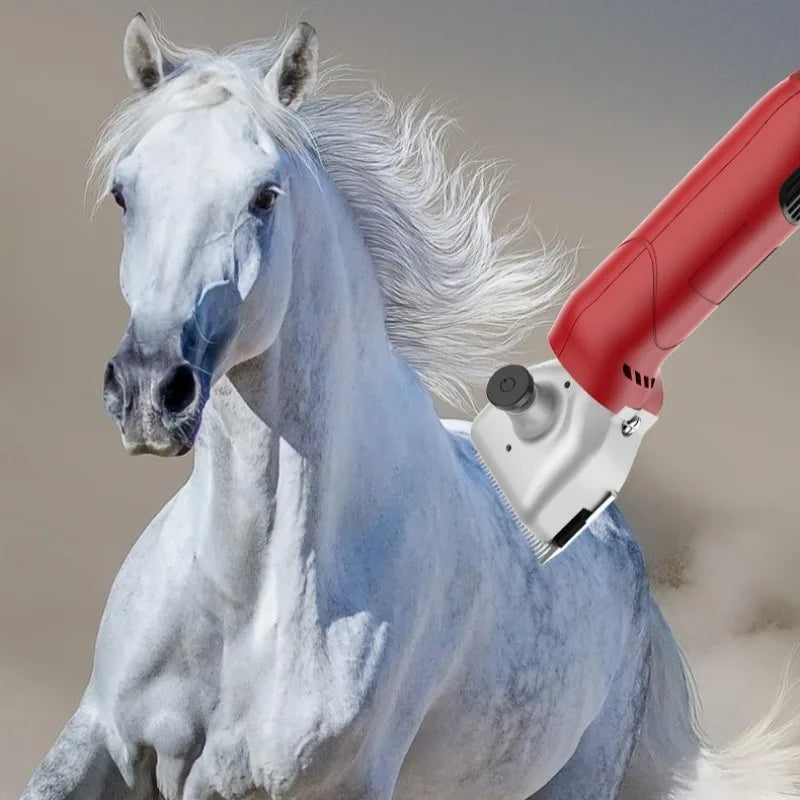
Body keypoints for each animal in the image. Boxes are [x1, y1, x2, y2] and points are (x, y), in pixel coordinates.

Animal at [20, 16, 800, 800]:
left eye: (265, 196)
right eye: (124, 192)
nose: (149, 391)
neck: (249, 596)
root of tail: (635, 575)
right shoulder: (103, 734)